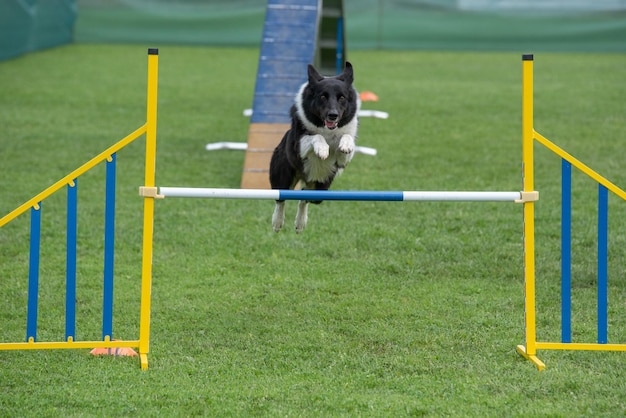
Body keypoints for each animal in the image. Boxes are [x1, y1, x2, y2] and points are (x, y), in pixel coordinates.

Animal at [270, 61, 360, 232]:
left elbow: (346, 138)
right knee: (281, 198)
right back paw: (277, 222)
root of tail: (306, 178)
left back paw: (300, 223)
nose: (333, 115)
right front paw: (322, 149)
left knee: (304, 196)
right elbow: (316, 137)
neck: (328, 130)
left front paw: (345, 144)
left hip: (321, 189)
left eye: (342, 97)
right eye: (323, 96)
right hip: (283, 176)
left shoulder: (342, 160)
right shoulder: (299, 146)